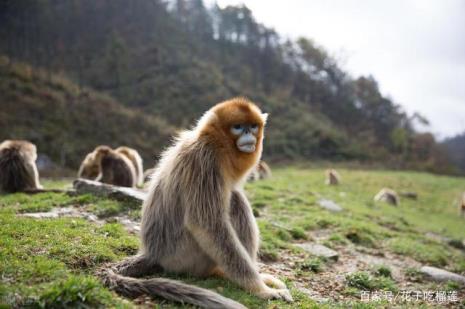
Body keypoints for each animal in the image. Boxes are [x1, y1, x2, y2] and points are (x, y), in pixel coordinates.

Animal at [98, 97, 292, 306]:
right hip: (183, 258)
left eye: (253, 126)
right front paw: (260, 289)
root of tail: (152, 253)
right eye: (238, 127)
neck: (215, 143)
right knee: (231, 204)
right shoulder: (205, 162)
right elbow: (207, 225)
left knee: (235, 199)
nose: (249, 134)